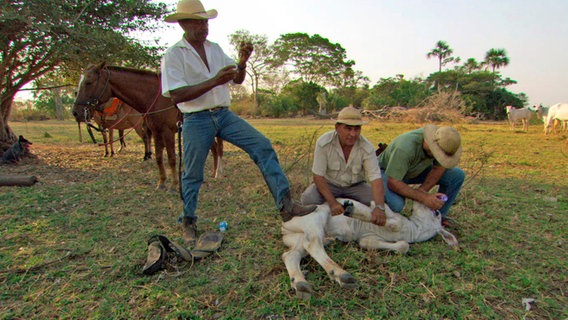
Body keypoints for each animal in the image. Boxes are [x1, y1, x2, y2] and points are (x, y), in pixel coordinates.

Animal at [71, 62, 222, 192]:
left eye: (89, 82)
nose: (75, 112)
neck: (156, 97)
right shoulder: (156, 131)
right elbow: (159, 157)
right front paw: (161, 183)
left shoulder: (167, 132)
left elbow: (171, 159)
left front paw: (173, 185)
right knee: (215, 148)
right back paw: (213, 174)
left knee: (216, 148)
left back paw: (216, 174)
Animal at [282, 198, 460, 300]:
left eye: (436, 212)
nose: (420, 201)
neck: (410, 230)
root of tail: (284, 226)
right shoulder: (387, 215)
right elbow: (385, 215)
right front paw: (352, 209)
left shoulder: (370, 237)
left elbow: (400, 245)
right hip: (317, 215)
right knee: (312, 243)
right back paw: (342, 275)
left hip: (298, 237)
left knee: (291, 254)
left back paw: (301, 283)